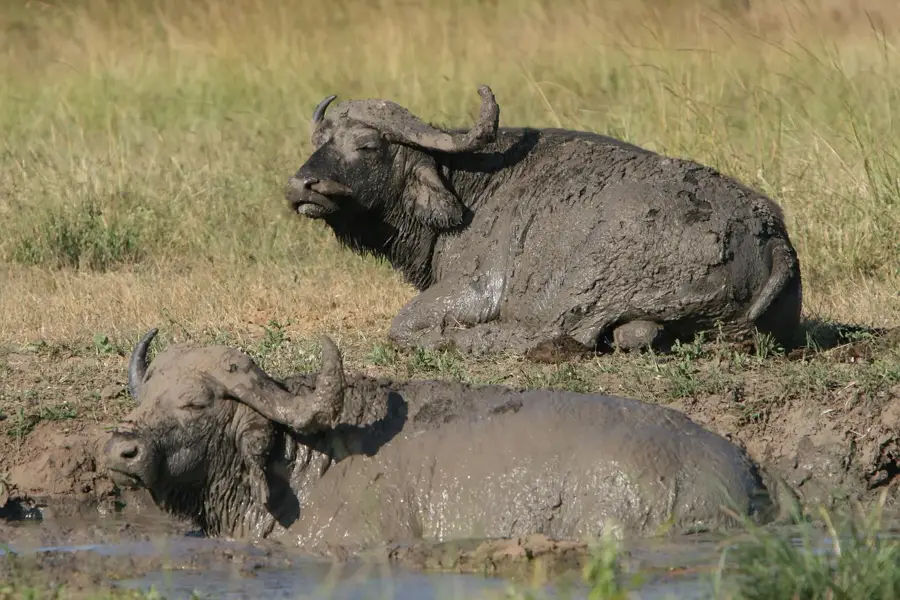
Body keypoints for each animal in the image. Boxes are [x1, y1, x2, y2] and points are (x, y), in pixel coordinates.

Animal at [285, 85, 802, 356]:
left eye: (367, 144)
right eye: (322, 140)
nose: (300, 186)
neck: (466, 186)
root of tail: (772, 237)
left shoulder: (476, 287)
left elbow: (402, 326)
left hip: (583, 284)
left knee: (559, 331)